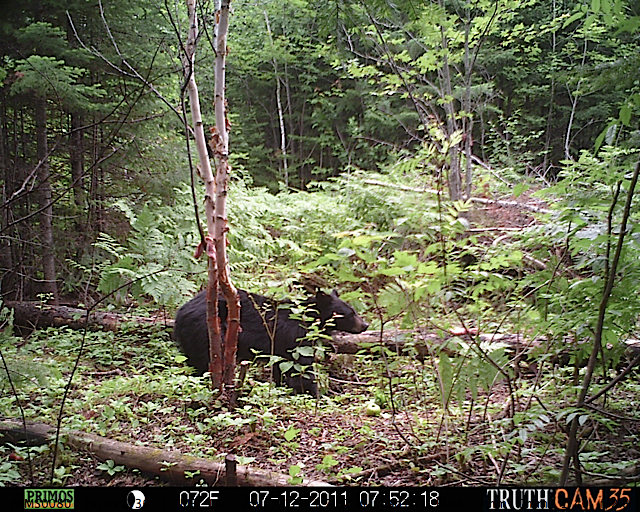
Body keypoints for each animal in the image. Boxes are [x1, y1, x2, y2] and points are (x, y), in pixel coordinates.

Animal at [172, 290, 368, 394]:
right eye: (350, 313)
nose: (365, 325)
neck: (308, 318)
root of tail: (180, 313)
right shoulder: (296, 338)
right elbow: (301, 369)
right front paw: (314, 393)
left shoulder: (282, 349)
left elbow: (281, 368)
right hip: (206, 332)